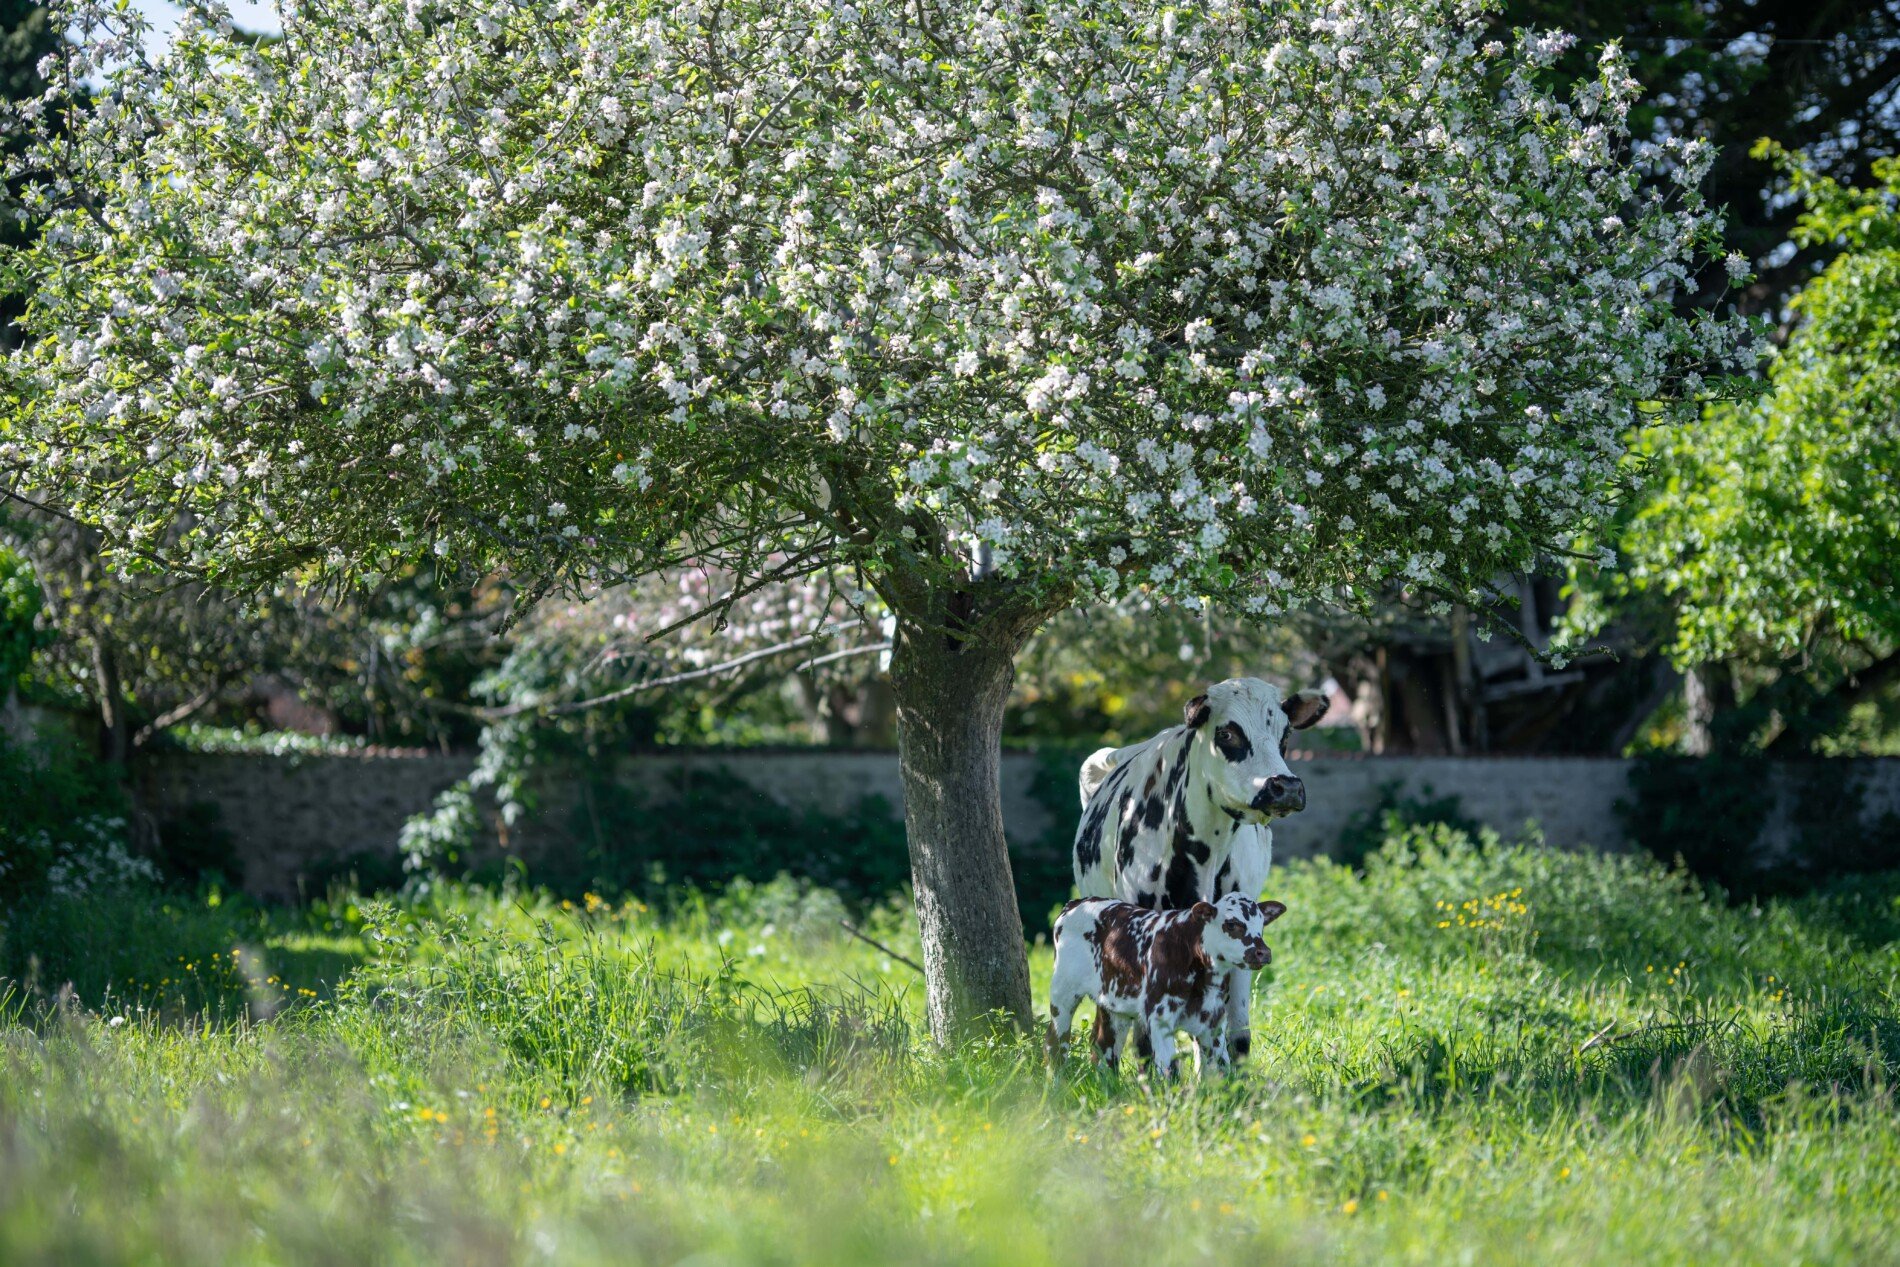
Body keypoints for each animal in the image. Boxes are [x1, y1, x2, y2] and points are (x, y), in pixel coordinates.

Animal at [1041, 892, 1292, 1078]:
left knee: (1104, 1047)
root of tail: (1076, 903)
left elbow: (1221, 1068)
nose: (1263, 952)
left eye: (1261, 923)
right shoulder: (1160, 1016)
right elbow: (1169, 1070)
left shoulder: (1214, 1020)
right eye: (1231, 924)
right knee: (1055, 1042)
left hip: (1113, 1005)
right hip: (1063, 993)